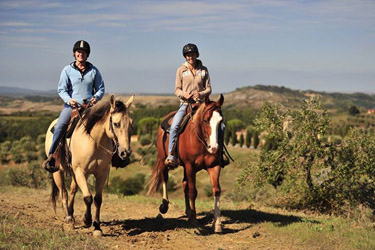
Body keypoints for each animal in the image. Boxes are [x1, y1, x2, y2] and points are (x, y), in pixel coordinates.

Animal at [44, 94, 134, 235]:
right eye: (116, 123)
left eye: (131, 124)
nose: (126, 153)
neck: (94, 141)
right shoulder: (81, 172)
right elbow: (87, 197)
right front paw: (87, 220)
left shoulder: (102, 173)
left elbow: (97, 199)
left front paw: (97, 227)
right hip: (58, 172)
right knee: (63, 192)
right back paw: (68, 217)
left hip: (73, 173)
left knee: (72, 190)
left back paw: (72, 214)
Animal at [149, 94, 226, 232]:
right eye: (205, 120)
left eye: (221, 121)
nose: (214, 148)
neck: (201, 141)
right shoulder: (190, 166)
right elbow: (193, 191)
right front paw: (194, 220)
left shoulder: (214, 166)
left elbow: (216, 190)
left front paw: (217, 223)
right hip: (164, 161)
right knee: (165, 177)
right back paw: (164, 205)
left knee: (184, 184)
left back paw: (187, 211)